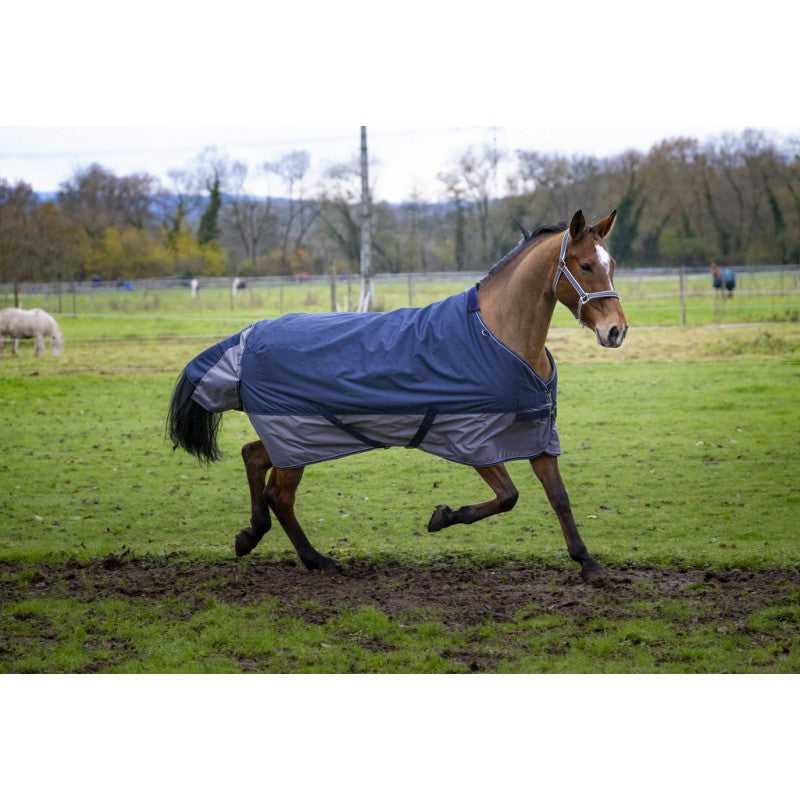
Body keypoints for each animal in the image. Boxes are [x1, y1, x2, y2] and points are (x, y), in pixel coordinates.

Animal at [167, 209, 628, 584]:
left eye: (612, 265)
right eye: (585, 265)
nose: (616, 331)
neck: (498, 338)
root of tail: (247, 336)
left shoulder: (537, 435)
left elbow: (559, 498)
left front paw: (588, 563)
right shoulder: (471, 440)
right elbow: (508, 497)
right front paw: (442, 517)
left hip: (298, 437)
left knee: (253, 456)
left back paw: (251, 536)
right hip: (296, 439)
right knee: (279, 495)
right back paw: (317, 560)